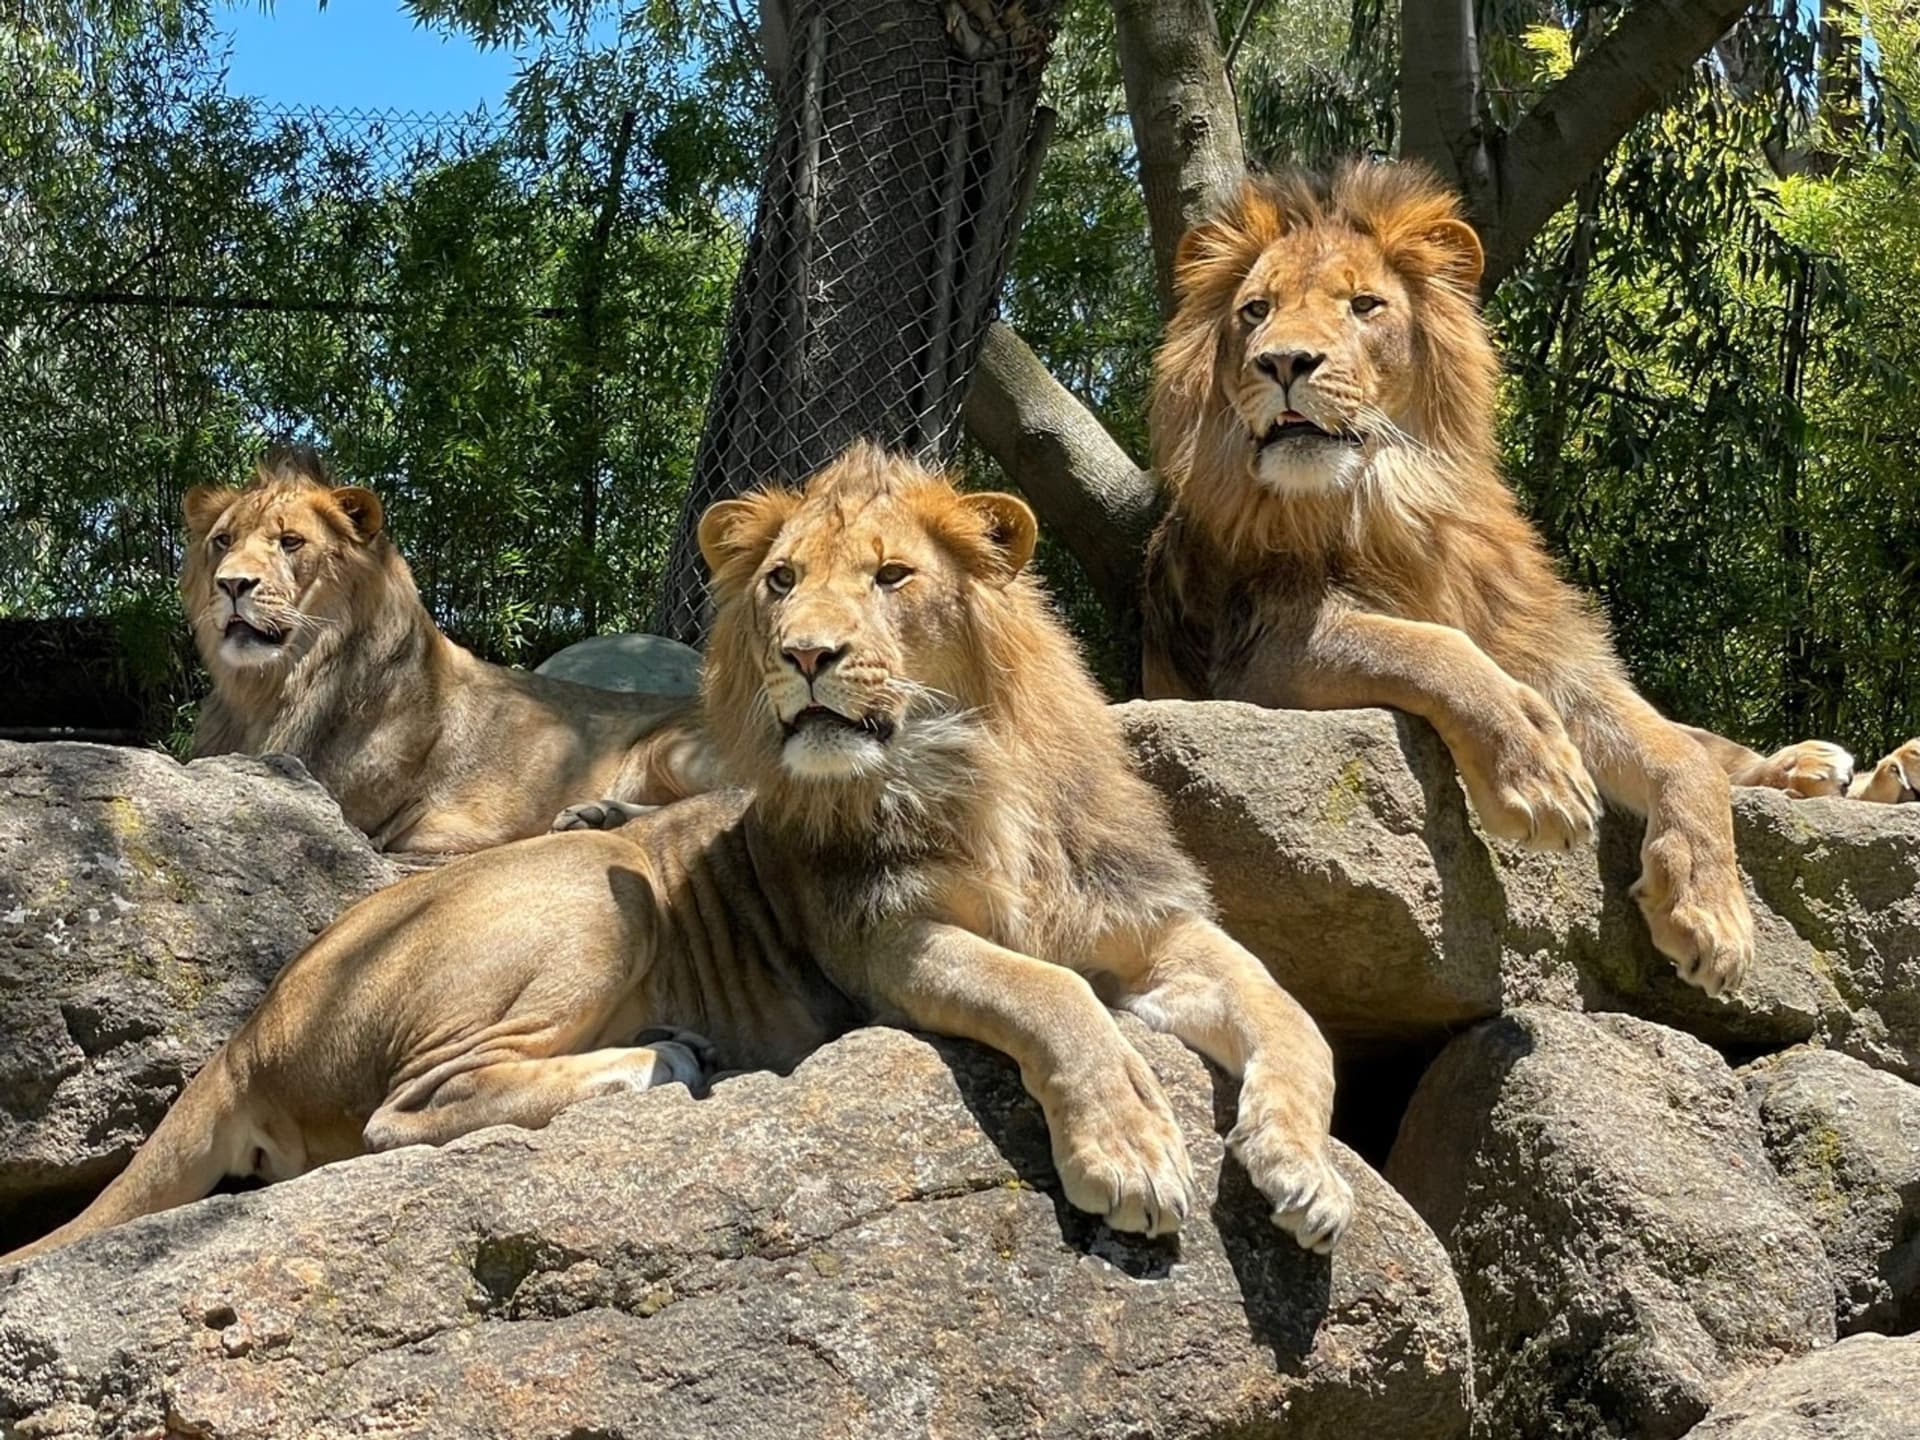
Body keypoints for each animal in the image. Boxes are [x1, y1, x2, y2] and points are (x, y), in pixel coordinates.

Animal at [181, 449, 714, 853]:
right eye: (223, 540)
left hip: (671, 747)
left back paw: (599, 815)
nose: (232, 584)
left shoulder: (335, 802)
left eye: (291, 541)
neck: (270, 688)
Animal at [1141, 162, 1890, 997]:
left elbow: (1681, 753)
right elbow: (1434, 648)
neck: (1389, 500)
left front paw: (1713, 911)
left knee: (1712, 745)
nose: (1282, 362)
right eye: (1256, 311)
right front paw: (1544, 777)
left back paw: (1830, 768)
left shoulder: (1552, 654)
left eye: (1364, 306)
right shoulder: (1259, 657)